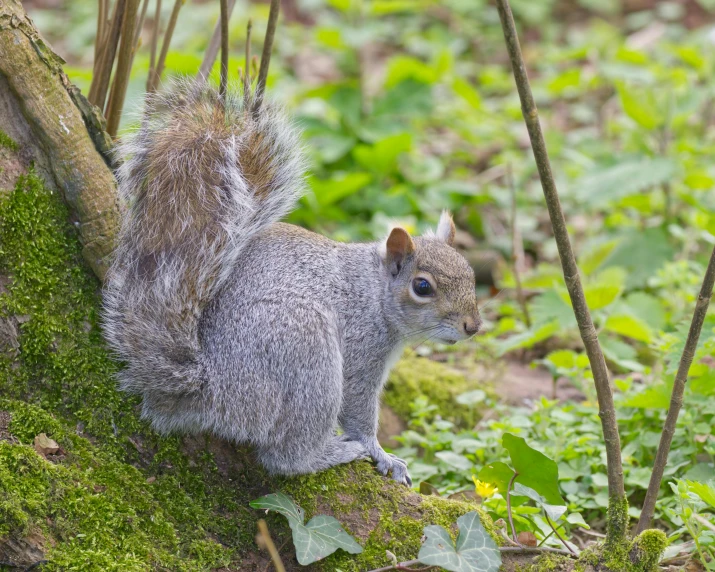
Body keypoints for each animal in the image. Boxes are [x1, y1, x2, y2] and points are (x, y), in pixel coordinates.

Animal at [102, 78, 482, 484]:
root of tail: (214, 389)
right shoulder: (362, 347)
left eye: (471, 272)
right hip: (308, 356)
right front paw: (381, 453)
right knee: (286, 457)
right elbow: (358, 408)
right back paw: (331, 453)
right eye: (422, 287)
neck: (373, 290)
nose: (473, 326)